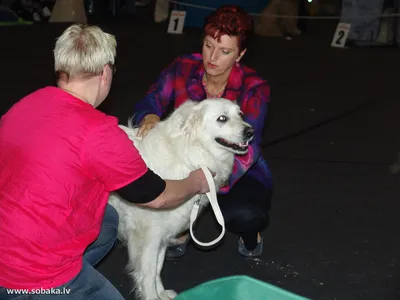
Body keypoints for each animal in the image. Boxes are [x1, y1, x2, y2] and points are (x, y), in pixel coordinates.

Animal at [108, 98, 255, 300]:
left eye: (240, 114)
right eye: (222, 119)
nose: (250, 132)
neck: (189, 156)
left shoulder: (163, 233)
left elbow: (157, 267)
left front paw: (162, 293)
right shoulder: (148, 236)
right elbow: (147, 273)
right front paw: (152, 296)